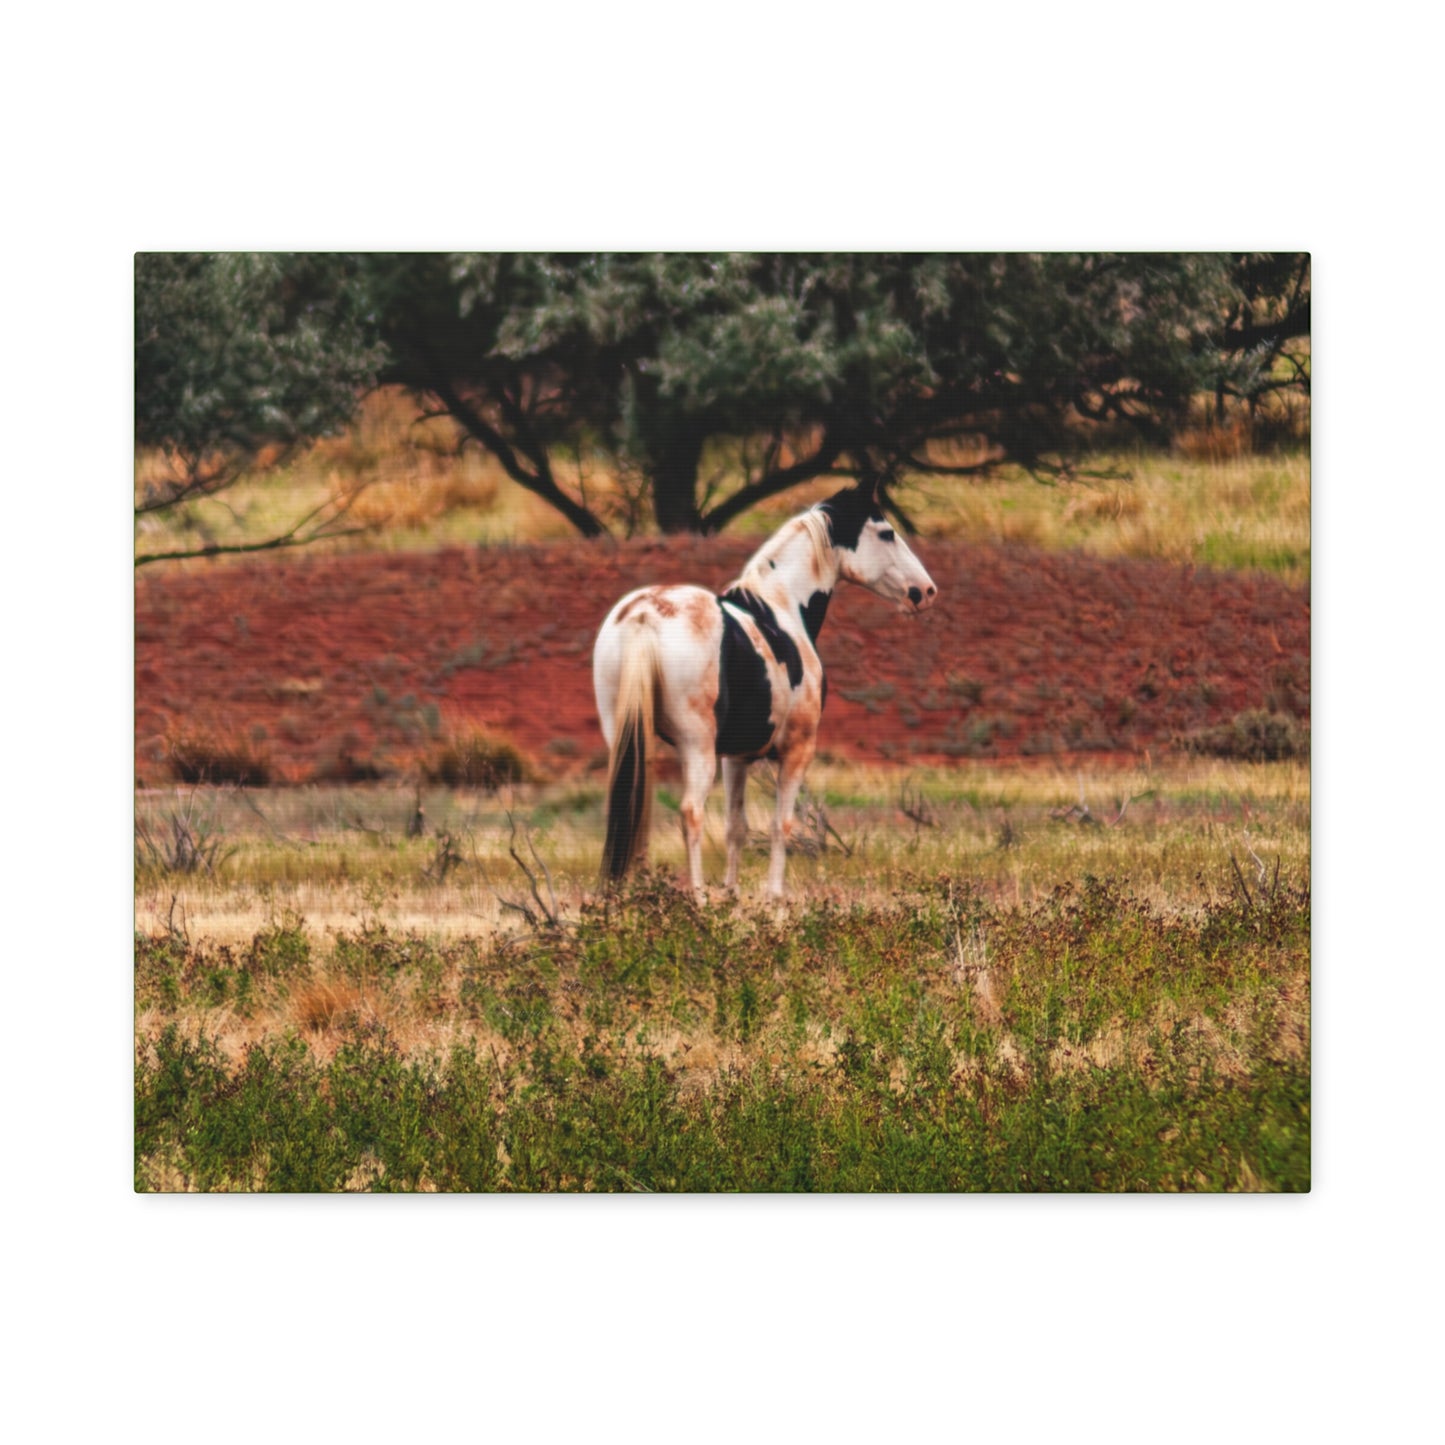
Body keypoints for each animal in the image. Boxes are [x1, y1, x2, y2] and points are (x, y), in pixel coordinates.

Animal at [592, 481, 938, 899]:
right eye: (886, 533)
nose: (925, 591)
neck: (780, 608)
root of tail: (644, 615)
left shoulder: (736, 757)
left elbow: (735, 827)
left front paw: (732, 894)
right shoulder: (796, 751)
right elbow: (781, 825)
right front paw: (774, 896)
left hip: (629, 737)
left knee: (632, 806)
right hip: (695, 746)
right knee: (691, 812)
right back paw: (698, 897)